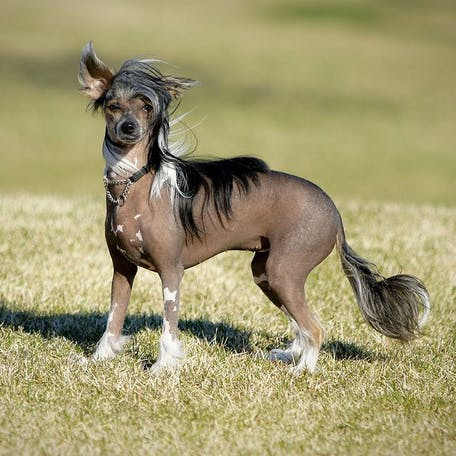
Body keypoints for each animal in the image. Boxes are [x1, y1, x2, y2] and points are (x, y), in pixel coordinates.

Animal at [78, 42, 430, 374]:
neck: (132, 183)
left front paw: (162, 368)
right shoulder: (122, 270)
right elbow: (113, 318)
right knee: (300, 326)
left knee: (314, 328)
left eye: (147, 107)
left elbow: (169, 328)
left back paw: (303, 370)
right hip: (265, 273)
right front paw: (99, 359)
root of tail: (334, 211)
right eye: (113, 106)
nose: (129, 127)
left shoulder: (171, 272)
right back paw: (289, 355)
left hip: (283, 272)